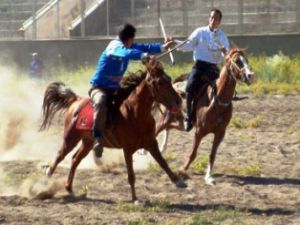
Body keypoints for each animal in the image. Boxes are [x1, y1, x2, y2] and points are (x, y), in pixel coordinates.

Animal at [38, 57, 186, 202]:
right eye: (160, 83)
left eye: (169, 79)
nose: (178, 101)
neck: (135, 113)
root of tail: (76, 100)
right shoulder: (127, 148)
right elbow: (131, 175)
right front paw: (135, 199)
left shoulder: (151, 143)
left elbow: (163, 163)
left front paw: (179, 181)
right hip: (71, 137)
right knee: (60, 154)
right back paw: (48, 173)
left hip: (87, 141)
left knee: (75, 159)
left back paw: (69, 187)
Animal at [155, 47, 255, 185]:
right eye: (237, 61)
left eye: (246, 60)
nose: (250, 76)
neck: (217, 100)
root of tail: (174, 85)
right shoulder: (199, 131)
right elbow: (193, 153)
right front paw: (182, 170)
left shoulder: (220, 133)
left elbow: (212, 155)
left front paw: (208, 176)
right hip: (165, 117)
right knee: (157, 129)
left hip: (180, 123)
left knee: (168, 127)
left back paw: (161, 148)